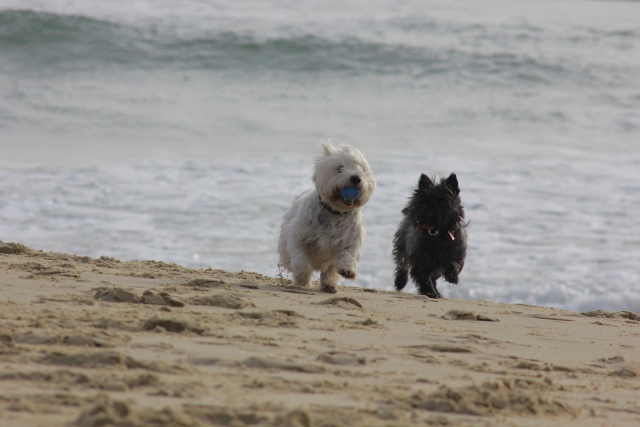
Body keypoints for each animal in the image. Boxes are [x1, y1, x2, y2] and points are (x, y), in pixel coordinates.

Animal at [278, 142, 376, 292]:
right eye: (339, 168)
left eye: (362, 169)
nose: (356, 178)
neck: (335, 211)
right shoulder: (299, 237)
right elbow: (301, 260)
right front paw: (303, 279)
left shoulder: (350, 239)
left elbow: (347, 255)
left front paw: (348, 271)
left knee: (330, 270)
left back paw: (329, 285)